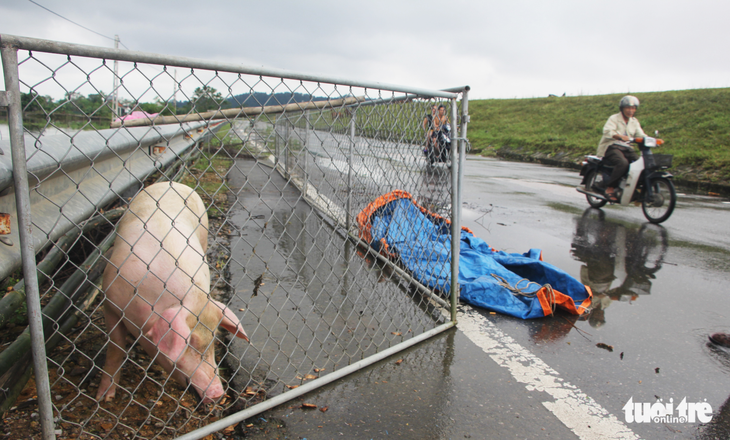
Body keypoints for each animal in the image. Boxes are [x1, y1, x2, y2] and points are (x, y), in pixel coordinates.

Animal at [95, 181, 249, 402]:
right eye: (189, 342)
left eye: (213, 341)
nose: (218, 394)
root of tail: (173, 183)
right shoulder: (110, 299)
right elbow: (115, 347)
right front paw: (104, 398)